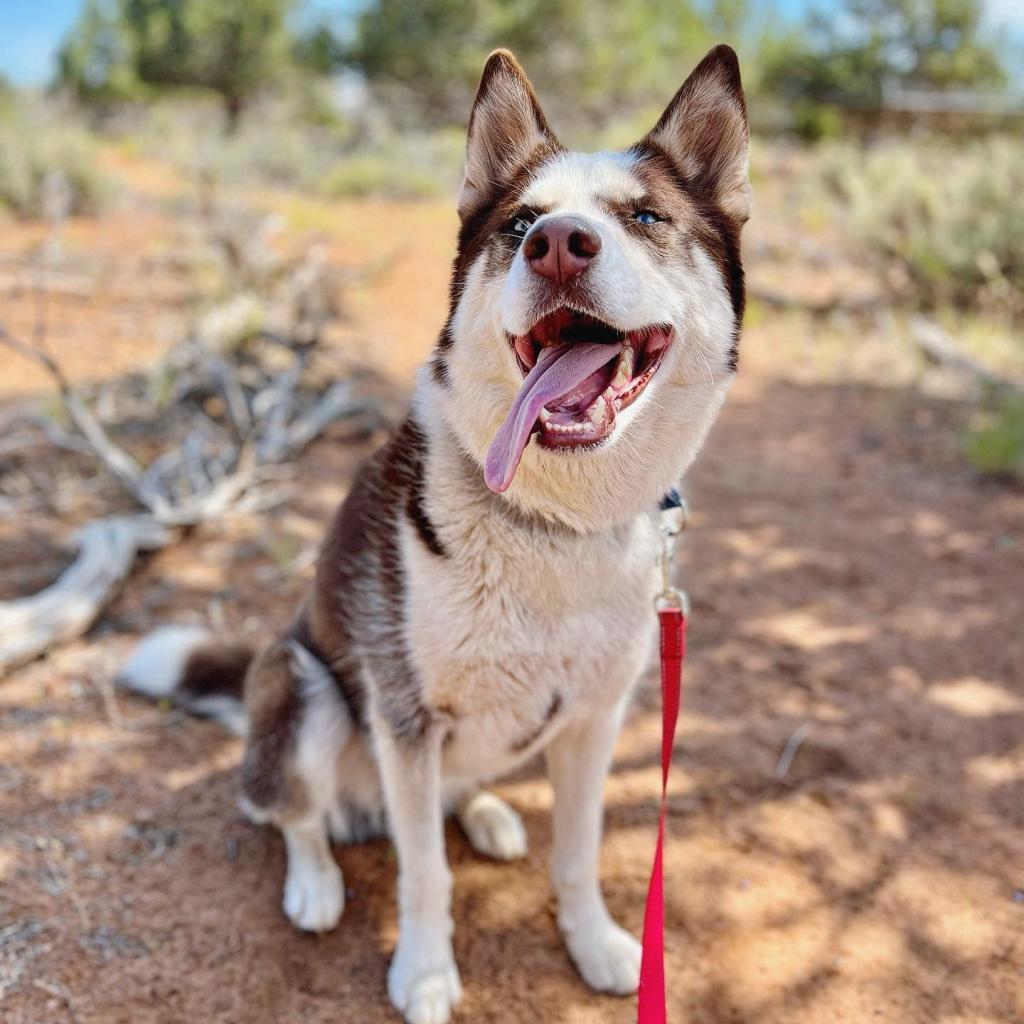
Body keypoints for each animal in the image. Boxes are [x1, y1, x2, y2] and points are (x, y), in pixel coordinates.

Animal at [119, 46, 749, 1024]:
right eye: (521, 222)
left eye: (647, 217)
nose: (556, 243)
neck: (552, 522)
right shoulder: (407, 720)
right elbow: (424, 875)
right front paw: (421, 972)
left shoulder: (594, 720)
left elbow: (577, 855)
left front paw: (599, 945)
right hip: (303, 685)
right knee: (290, 812)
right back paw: (316, 880)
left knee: (453, 793)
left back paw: (486, 814)